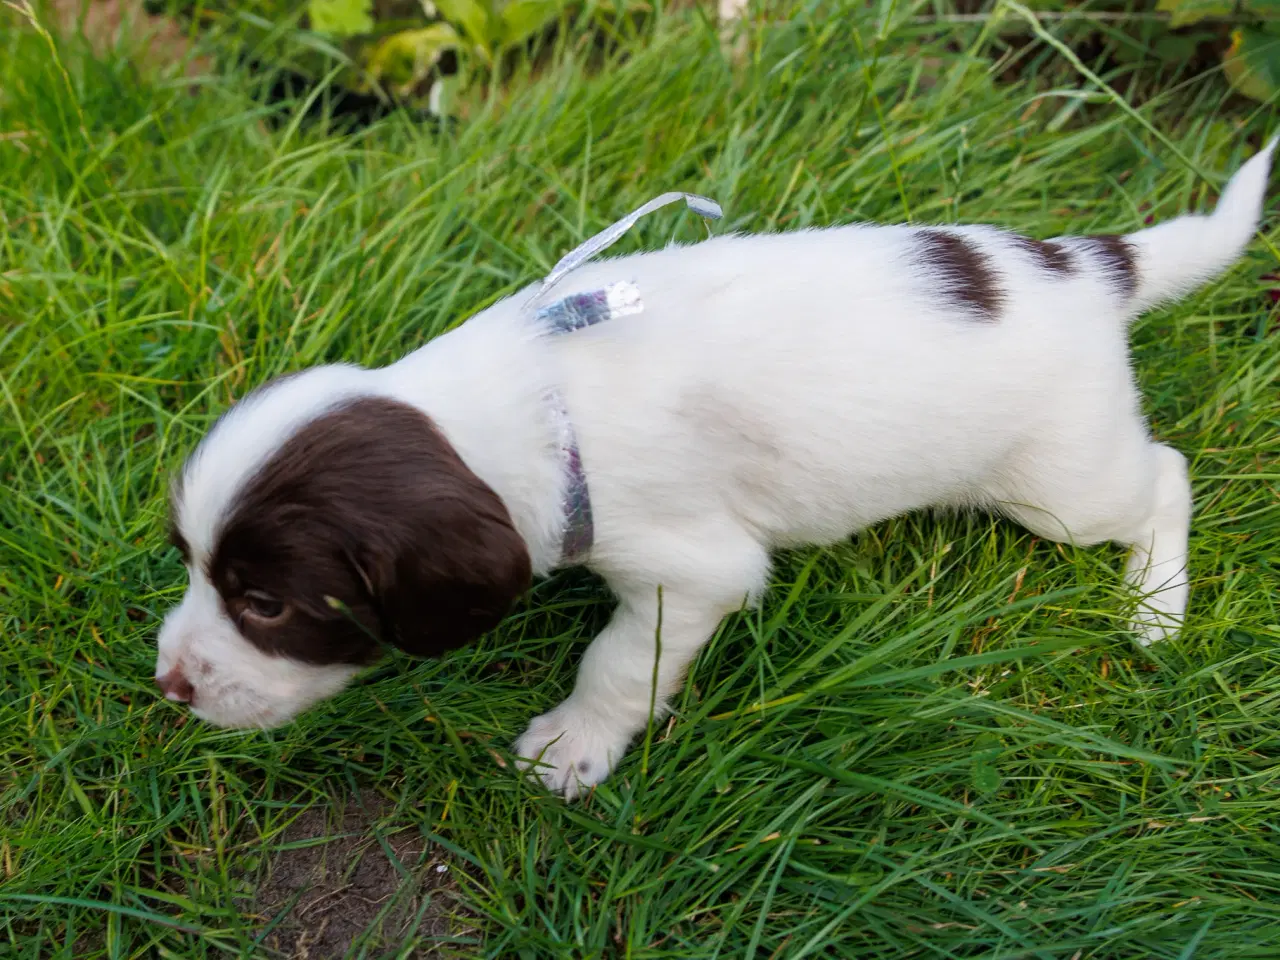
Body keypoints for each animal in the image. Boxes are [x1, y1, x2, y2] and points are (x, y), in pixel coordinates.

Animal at [157, 142, 1269, 798]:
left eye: (265, 604)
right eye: (190, 566)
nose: (168, 687)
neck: (523, 399)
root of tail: (1091, 269)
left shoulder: (689, 569)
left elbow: (617, 662)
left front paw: (573, 746)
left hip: (1059, 483)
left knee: (1164, 477)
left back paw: (1154, 606)